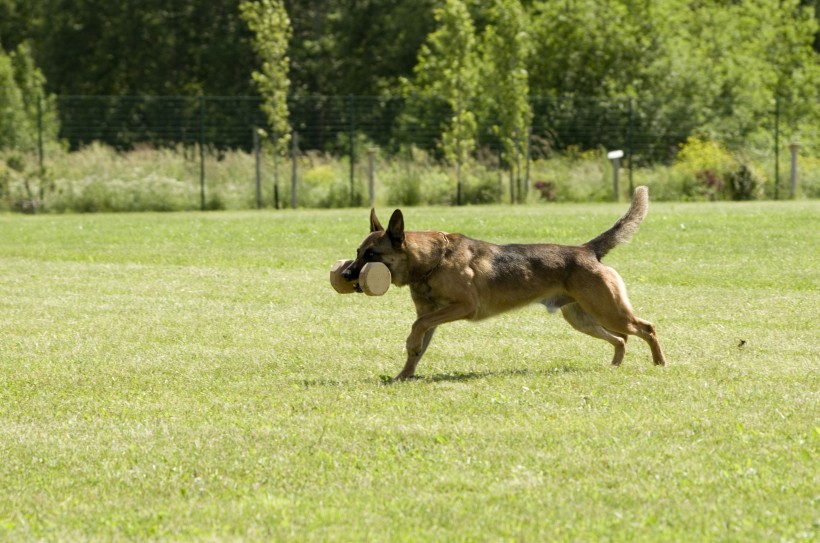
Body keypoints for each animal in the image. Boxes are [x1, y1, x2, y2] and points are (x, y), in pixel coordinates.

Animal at [342, 187, 668, 382]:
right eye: (358, 252)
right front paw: (404, 375)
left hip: (610, 312)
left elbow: (416, 328)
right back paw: (615, 366)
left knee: (646, 328)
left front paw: (408, 349)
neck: (433, 260)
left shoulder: (463, 307)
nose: (345, 275)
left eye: (371, 255)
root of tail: (587, 250)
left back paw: (660, 363)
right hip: (583, 318)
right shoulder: (431, 315)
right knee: (621, 340)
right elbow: (419, 343)